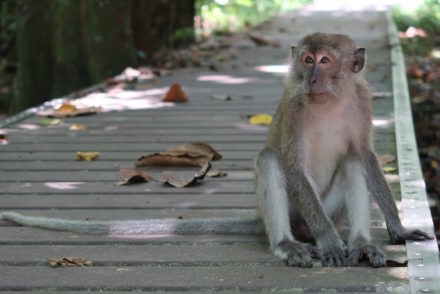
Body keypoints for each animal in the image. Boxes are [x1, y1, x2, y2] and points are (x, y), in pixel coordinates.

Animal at [0, 33, 434, 268]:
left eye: (325, 61)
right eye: (308, 59)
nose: (310, 77)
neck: (328, 100)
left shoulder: (362, 101)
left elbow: (364, 155)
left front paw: (396, 230)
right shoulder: (295, 106)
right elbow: (293, 167)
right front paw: (329, 243)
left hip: (331, 208)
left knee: (352, 163)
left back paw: (361, 244)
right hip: (303, 216)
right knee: (271, 161)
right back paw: (288, 245)